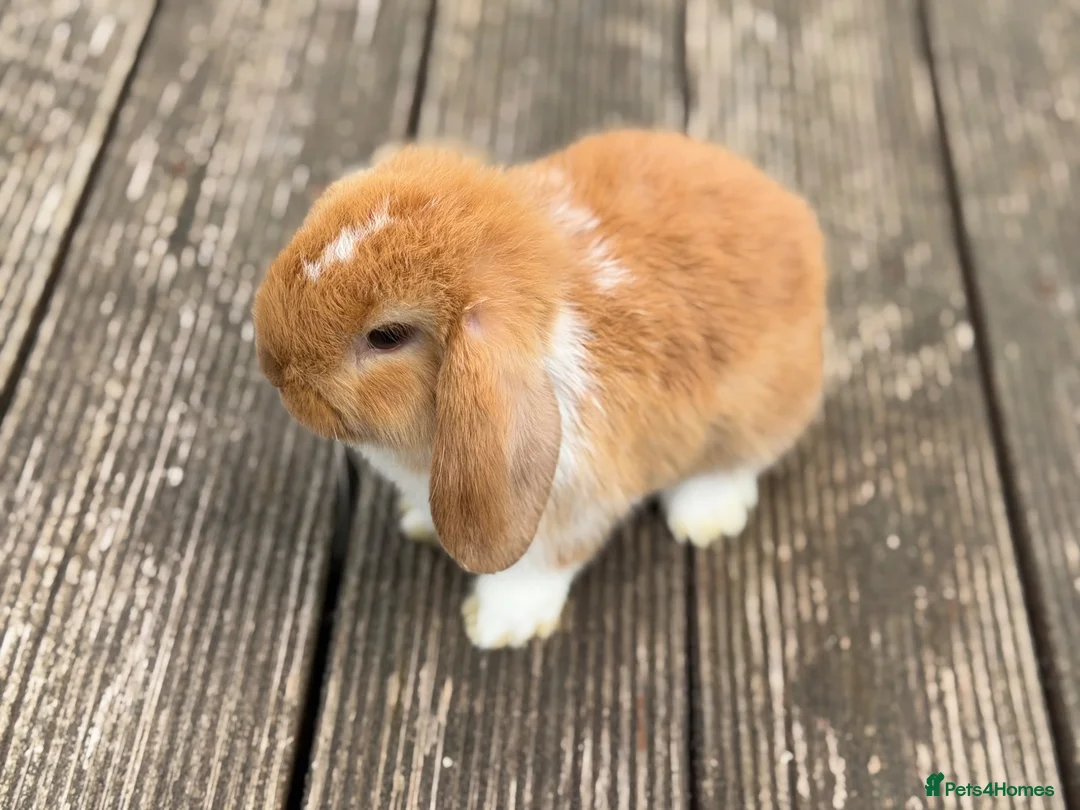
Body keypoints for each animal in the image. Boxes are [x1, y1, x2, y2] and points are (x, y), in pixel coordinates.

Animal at [252, 129, 827, 649]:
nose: (274, 365)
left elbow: (540, 566)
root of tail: (799, 219)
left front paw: (499, 626)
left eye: (386, 336)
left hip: (755, 417)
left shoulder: (576, 504)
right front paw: (419, 521)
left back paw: (706, 516)